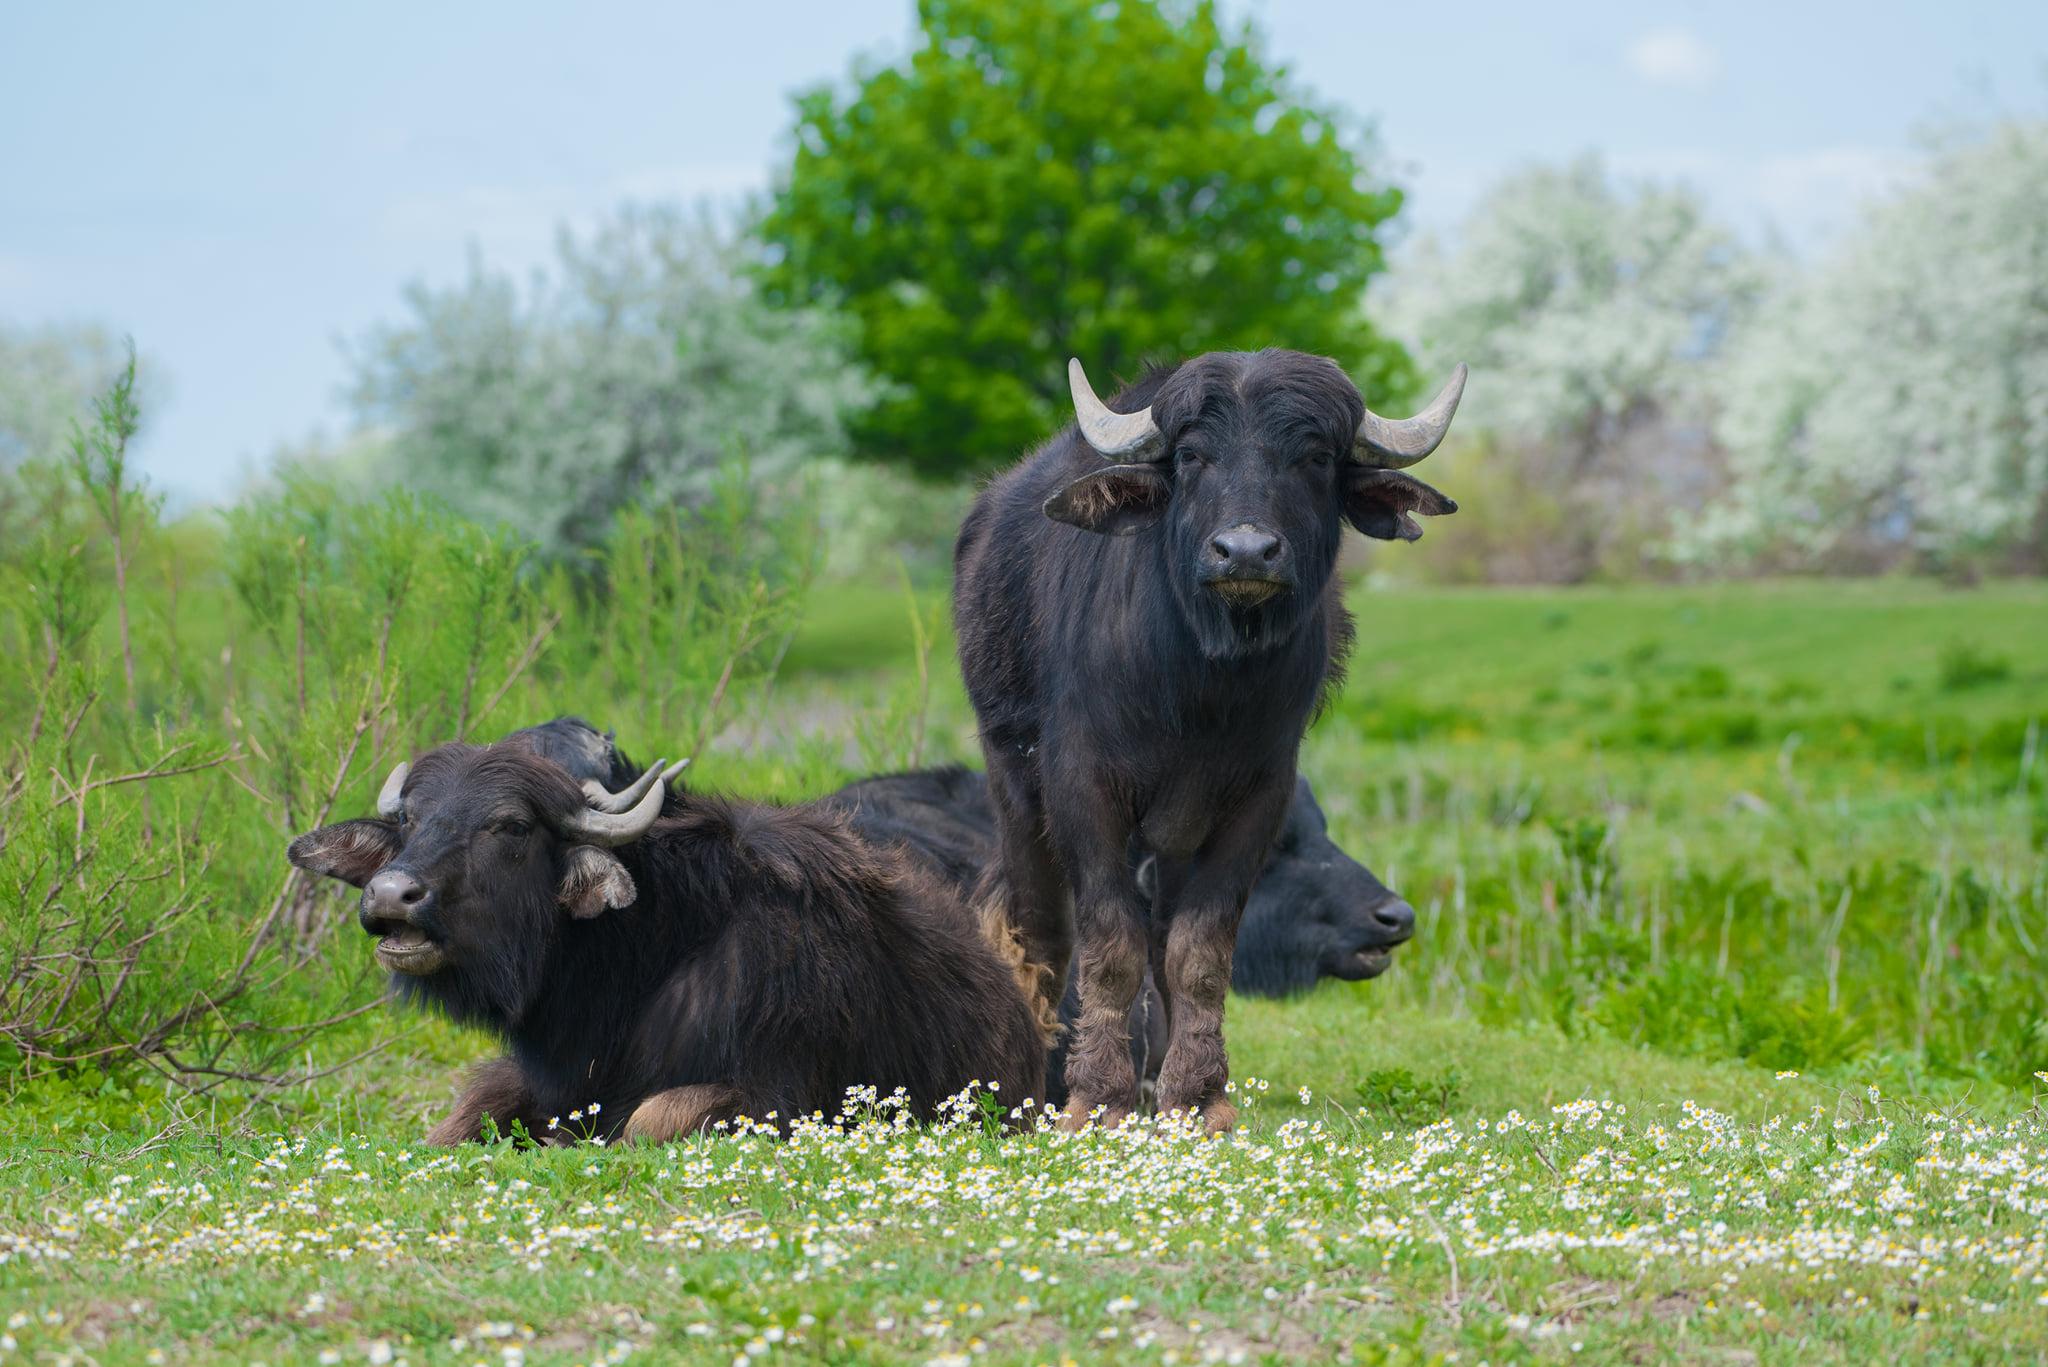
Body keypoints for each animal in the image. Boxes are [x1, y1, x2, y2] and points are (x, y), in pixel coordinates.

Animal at [290, 737, 1048, 1147]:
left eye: (510, 825)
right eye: (410, 819)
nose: (390, 896)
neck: (644, 960)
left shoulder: (780, 1097)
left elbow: (651, 1118)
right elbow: (453, 1122)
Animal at [950, 352, 1466, 1131]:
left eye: (1315, 457)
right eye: (1193, 456)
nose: (1245, 551)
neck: (1200, 689)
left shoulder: (1256, 797)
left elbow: (1200, 951)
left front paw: (1197, 1098)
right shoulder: (1082, 785)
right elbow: (1109, 944)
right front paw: (1095, 1098)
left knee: (1165, 933)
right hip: (1012, 776)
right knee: (1040, 925)